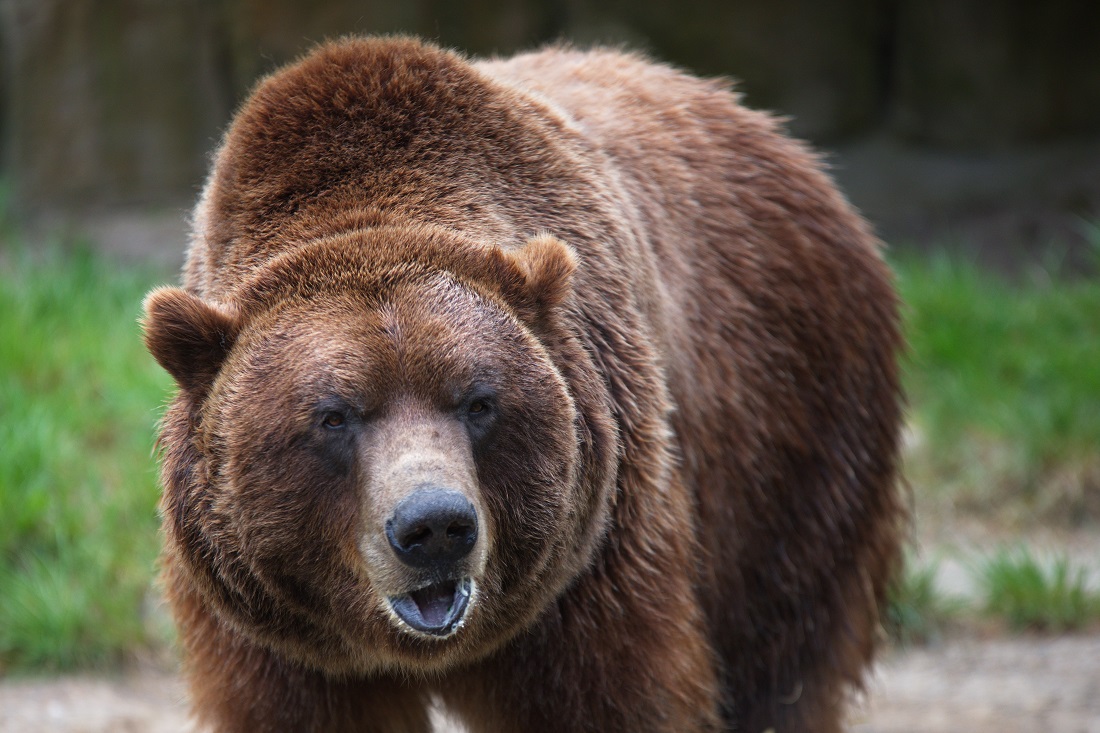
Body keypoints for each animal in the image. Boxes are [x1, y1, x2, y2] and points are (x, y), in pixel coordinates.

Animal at [144, 35, 902, 730]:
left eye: (479, 402)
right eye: (333, 416)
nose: (434, 526)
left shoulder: (596, 563)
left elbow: (614, 696)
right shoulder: (275, 633)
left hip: (784, 428)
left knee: (780, 653)